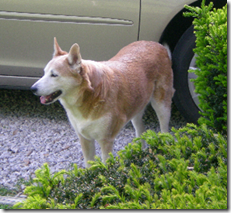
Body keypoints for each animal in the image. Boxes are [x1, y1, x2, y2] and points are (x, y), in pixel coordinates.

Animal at [31, 38, 175, 168]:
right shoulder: (85, 139)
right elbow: (89, 166)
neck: (90, 96)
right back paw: (141, 152)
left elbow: (106, 167)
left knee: (164, 129)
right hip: (135, 108)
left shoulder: (106, 141)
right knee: (141, 129)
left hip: (161, 106)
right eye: (44, 73)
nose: (33, 89)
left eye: (54, 75)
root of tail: (156, 44)